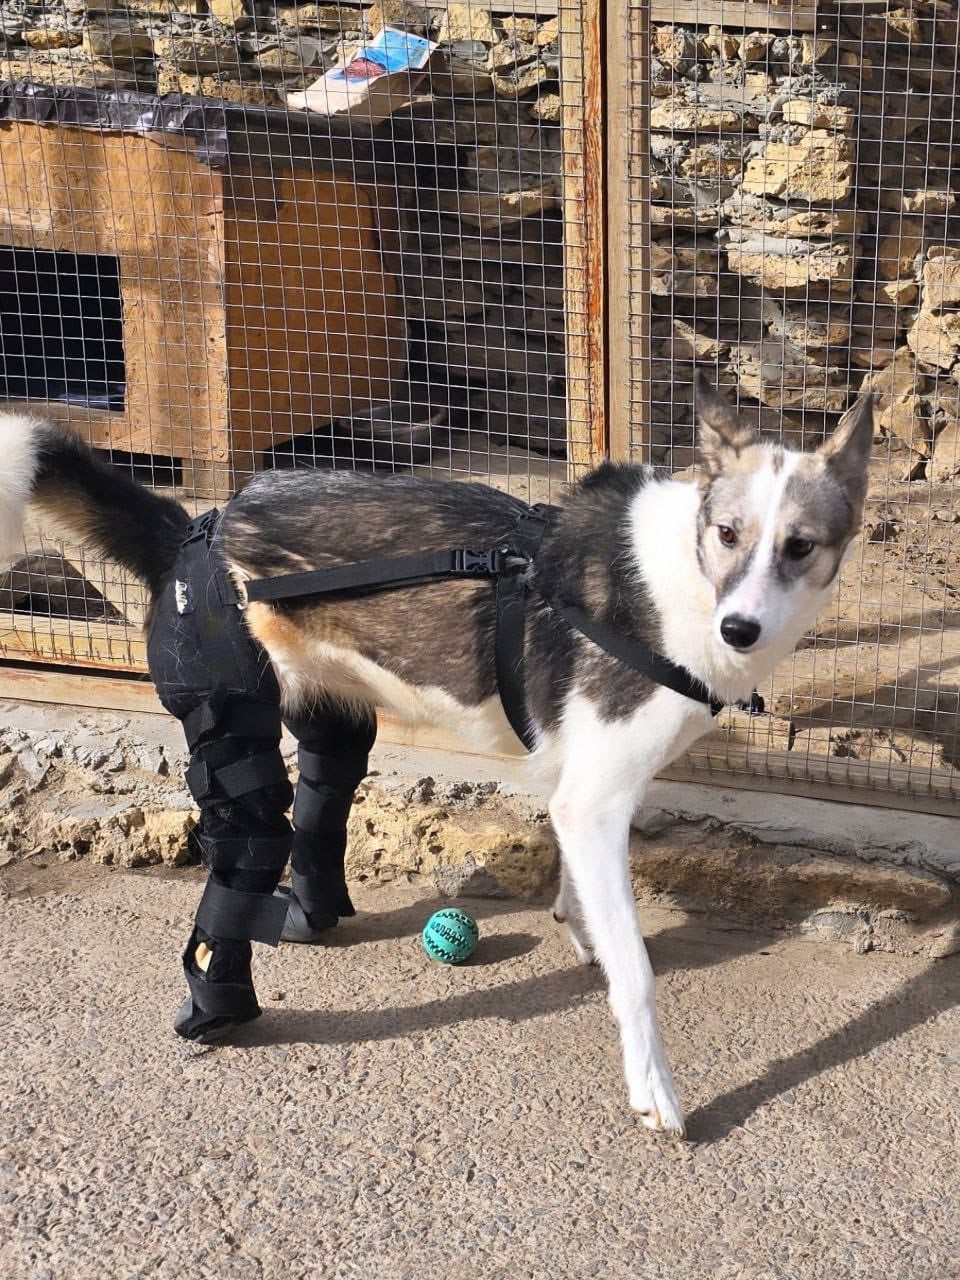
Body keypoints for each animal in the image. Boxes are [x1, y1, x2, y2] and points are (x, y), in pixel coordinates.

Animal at [0, 376, 874, 1136]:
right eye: (728, 536)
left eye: (800, 547)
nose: (740, 630)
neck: (681, 581)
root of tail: (198, 528)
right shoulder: (595, 802)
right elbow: (636, 973)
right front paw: (653, 1088)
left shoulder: (577, 797)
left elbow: (579, 894)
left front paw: (580, 930)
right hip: (231, 722)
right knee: (245, 840)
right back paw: (220, 1009)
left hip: (332, 716)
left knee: (321, 804)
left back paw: (311, 916)